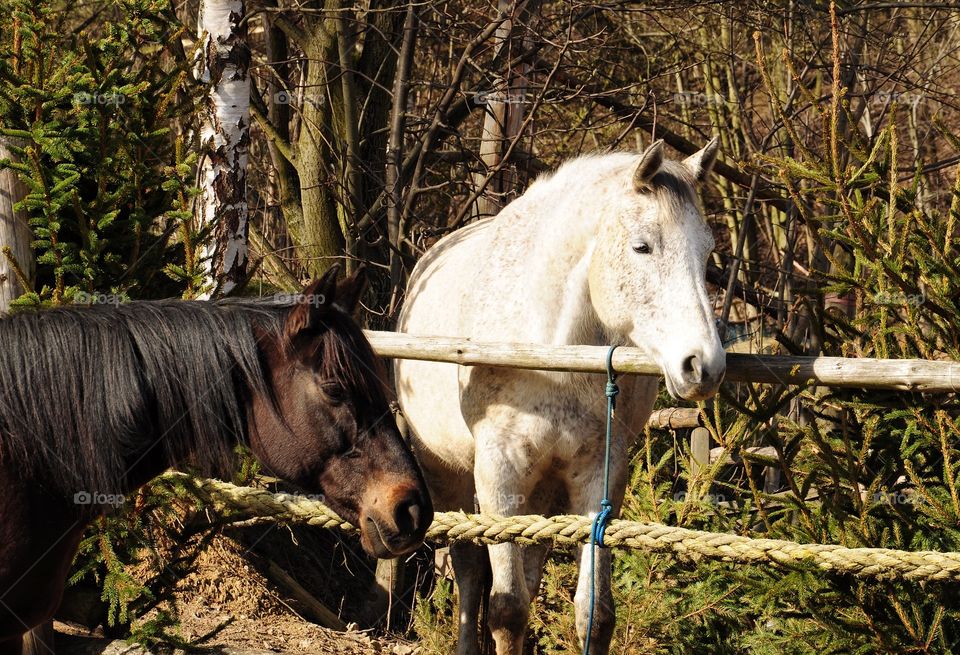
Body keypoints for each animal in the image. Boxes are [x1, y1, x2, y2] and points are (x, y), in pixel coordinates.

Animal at [396, 136, 720, 652]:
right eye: (642, 246)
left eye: (707, 252)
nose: (703, 365)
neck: (551, 353)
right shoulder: (499, 477)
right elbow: (506, 609)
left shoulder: (599, 479)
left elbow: (595, 612)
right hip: (447, 473)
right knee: (468, 567)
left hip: (543, 492)